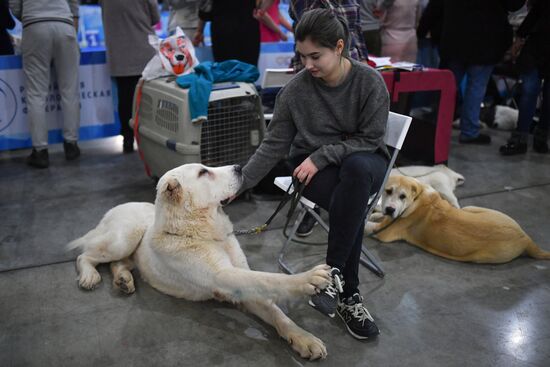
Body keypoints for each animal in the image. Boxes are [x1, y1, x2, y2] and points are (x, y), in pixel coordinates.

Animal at [71, 165, 334, 360]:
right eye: (203, 172)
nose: (239, 167)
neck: (203, 232)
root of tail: (117, 207)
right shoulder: (225, 277)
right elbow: (269, 279)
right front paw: (309, 279)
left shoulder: (241, 285)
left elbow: (276, 311)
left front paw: (303, 338)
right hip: (124, 238)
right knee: (85, 256)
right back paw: (89, 276)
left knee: (118, 263)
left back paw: (123, 280)